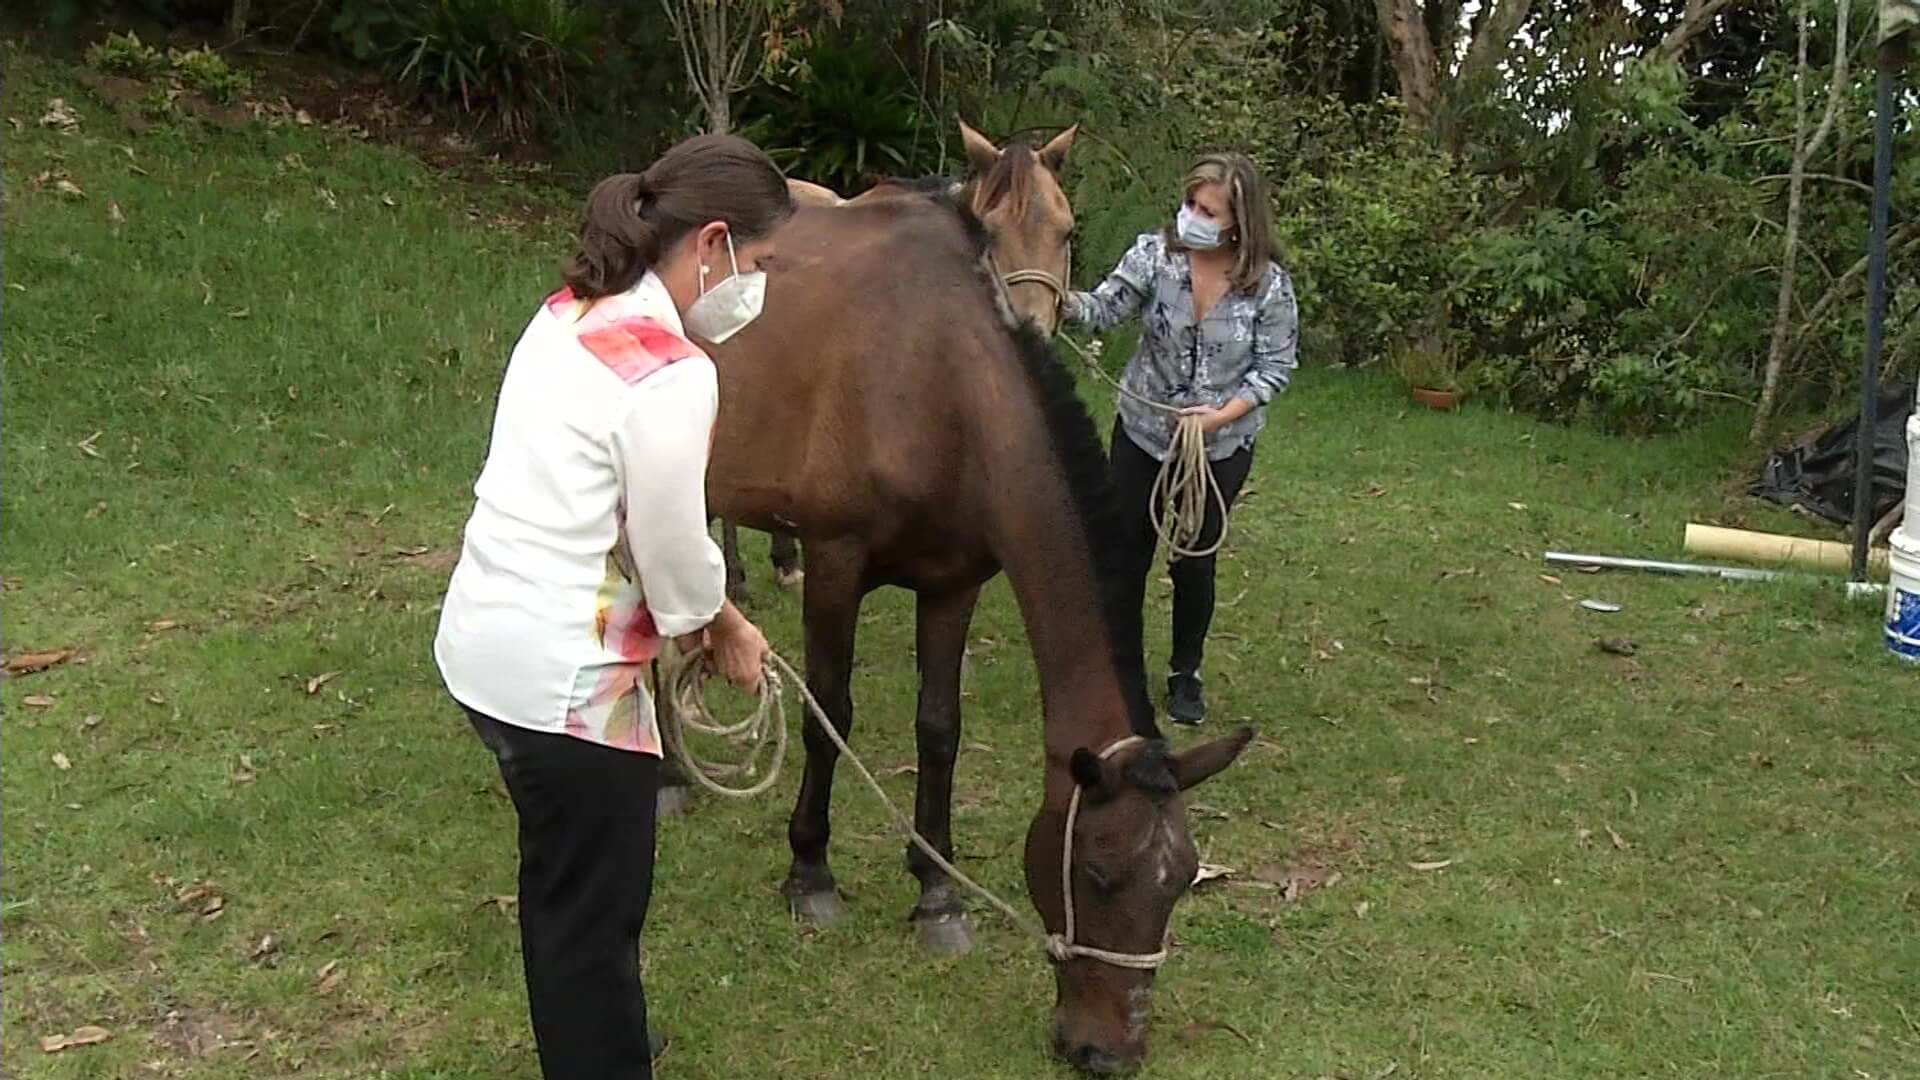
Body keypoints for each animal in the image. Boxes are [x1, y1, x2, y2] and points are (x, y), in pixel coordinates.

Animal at [695, 123, 1259, 1068]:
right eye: (1096, 873)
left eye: (1181, 881)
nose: (1109, 1051)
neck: (937, 382)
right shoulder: (838, 561)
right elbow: (828, 714)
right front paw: (810, 872)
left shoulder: (953, 582)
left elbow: (940, 728)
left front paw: (936, 892)